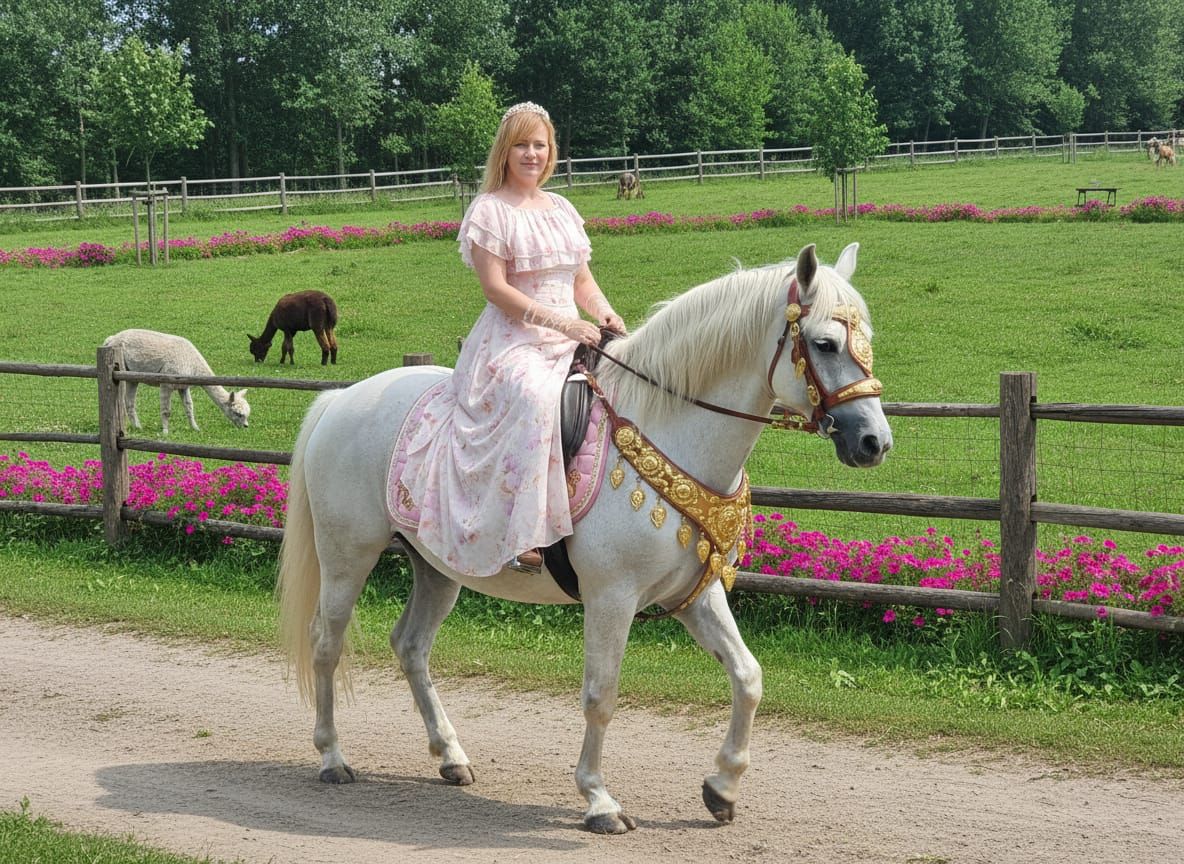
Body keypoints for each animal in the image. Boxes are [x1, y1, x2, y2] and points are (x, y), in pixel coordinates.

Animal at [276, 242, 892, 834]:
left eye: (867, 340)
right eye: (826, 343)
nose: (875, 442)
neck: (666, 430)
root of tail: (341, 398)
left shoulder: (695, 593)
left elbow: (748, 677)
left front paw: (722, 788)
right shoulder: (611, 597)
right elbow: (601, 695)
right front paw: (599, 801)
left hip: (438, 569)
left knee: (410, 645)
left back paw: (450, 755)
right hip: (347, 557)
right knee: (326, 643)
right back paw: (332, 757)